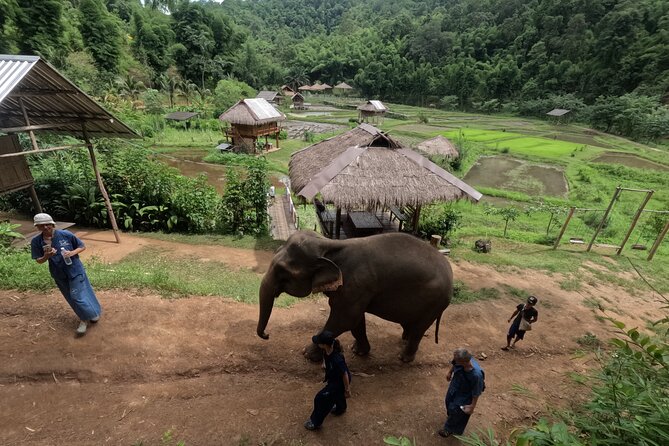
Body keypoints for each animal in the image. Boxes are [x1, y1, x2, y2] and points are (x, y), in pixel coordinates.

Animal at [256, 230, 454, 362]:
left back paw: (404, 357)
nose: (267, 335)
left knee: (420, 328)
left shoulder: (355, 286)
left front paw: (307, 353)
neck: (329, 245)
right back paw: (404, 340)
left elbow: (344, 320)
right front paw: (357, 351)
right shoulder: (356, 290)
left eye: (282, 271)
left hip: (435, 302)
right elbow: (356, 322)